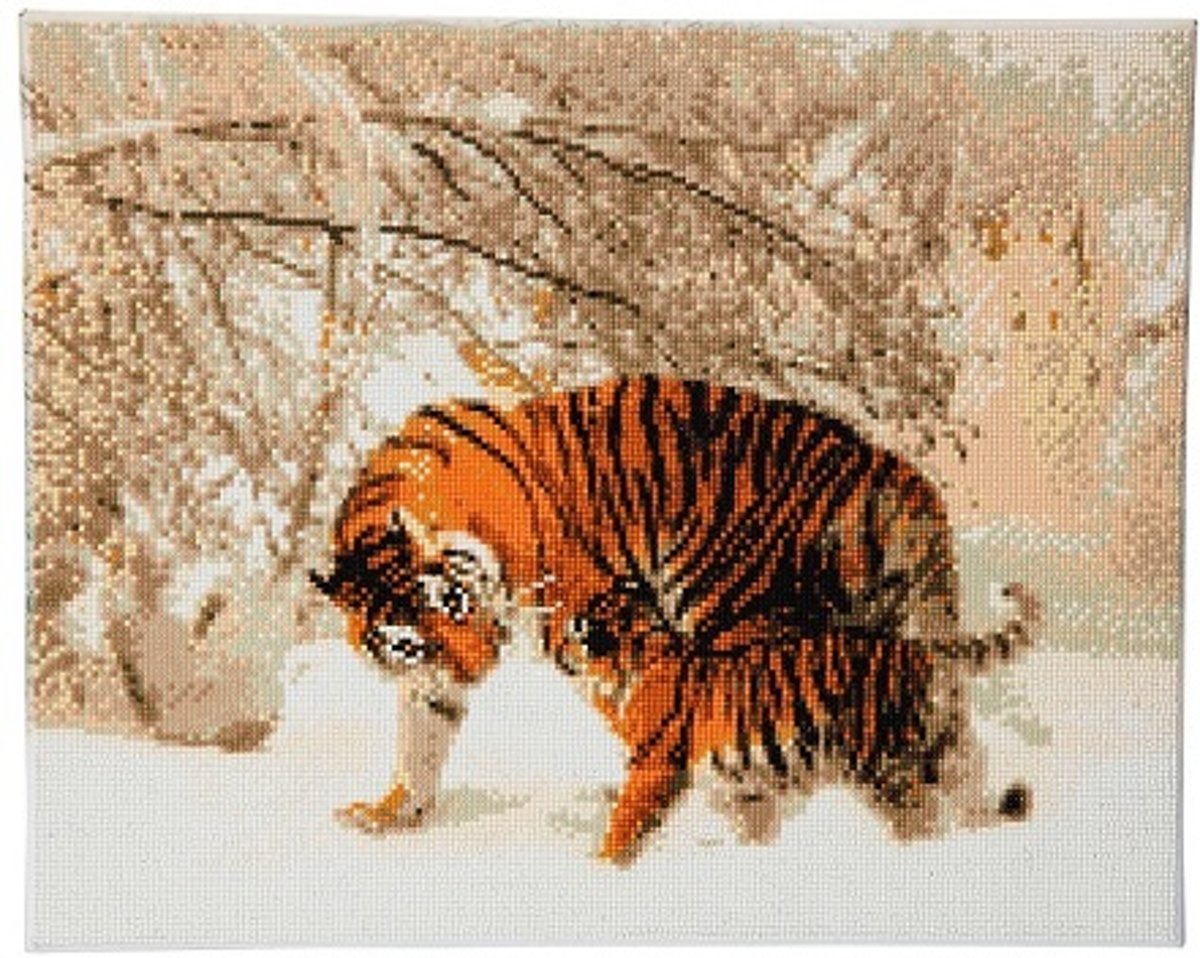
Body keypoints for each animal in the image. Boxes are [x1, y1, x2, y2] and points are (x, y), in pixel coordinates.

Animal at [311, 375, 1039, 863]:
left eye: (454, 602)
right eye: (406, 643)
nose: (474, 669)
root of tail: (898, 480)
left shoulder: (582, 608)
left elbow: (636, 704)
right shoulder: (431, 678)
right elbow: (420, 739)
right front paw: (392, 814)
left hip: (744, 614)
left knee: (769, 731)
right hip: (897, 639)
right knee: (953, 744)